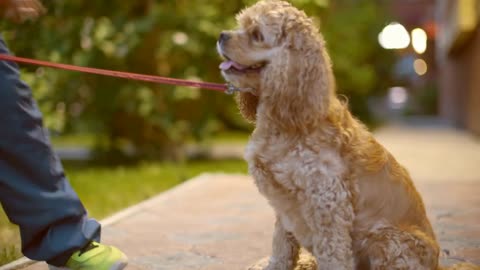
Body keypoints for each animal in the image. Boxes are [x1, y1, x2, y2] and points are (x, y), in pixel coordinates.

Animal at [218, 0, 480, 270]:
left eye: (257, 35)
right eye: (241, 25)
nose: (221, 35)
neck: (286, 118)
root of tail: (437, 264)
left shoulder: (328, 200)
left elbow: (332, 253)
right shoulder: (285, 206)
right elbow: (282, 246)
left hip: (386, 239)